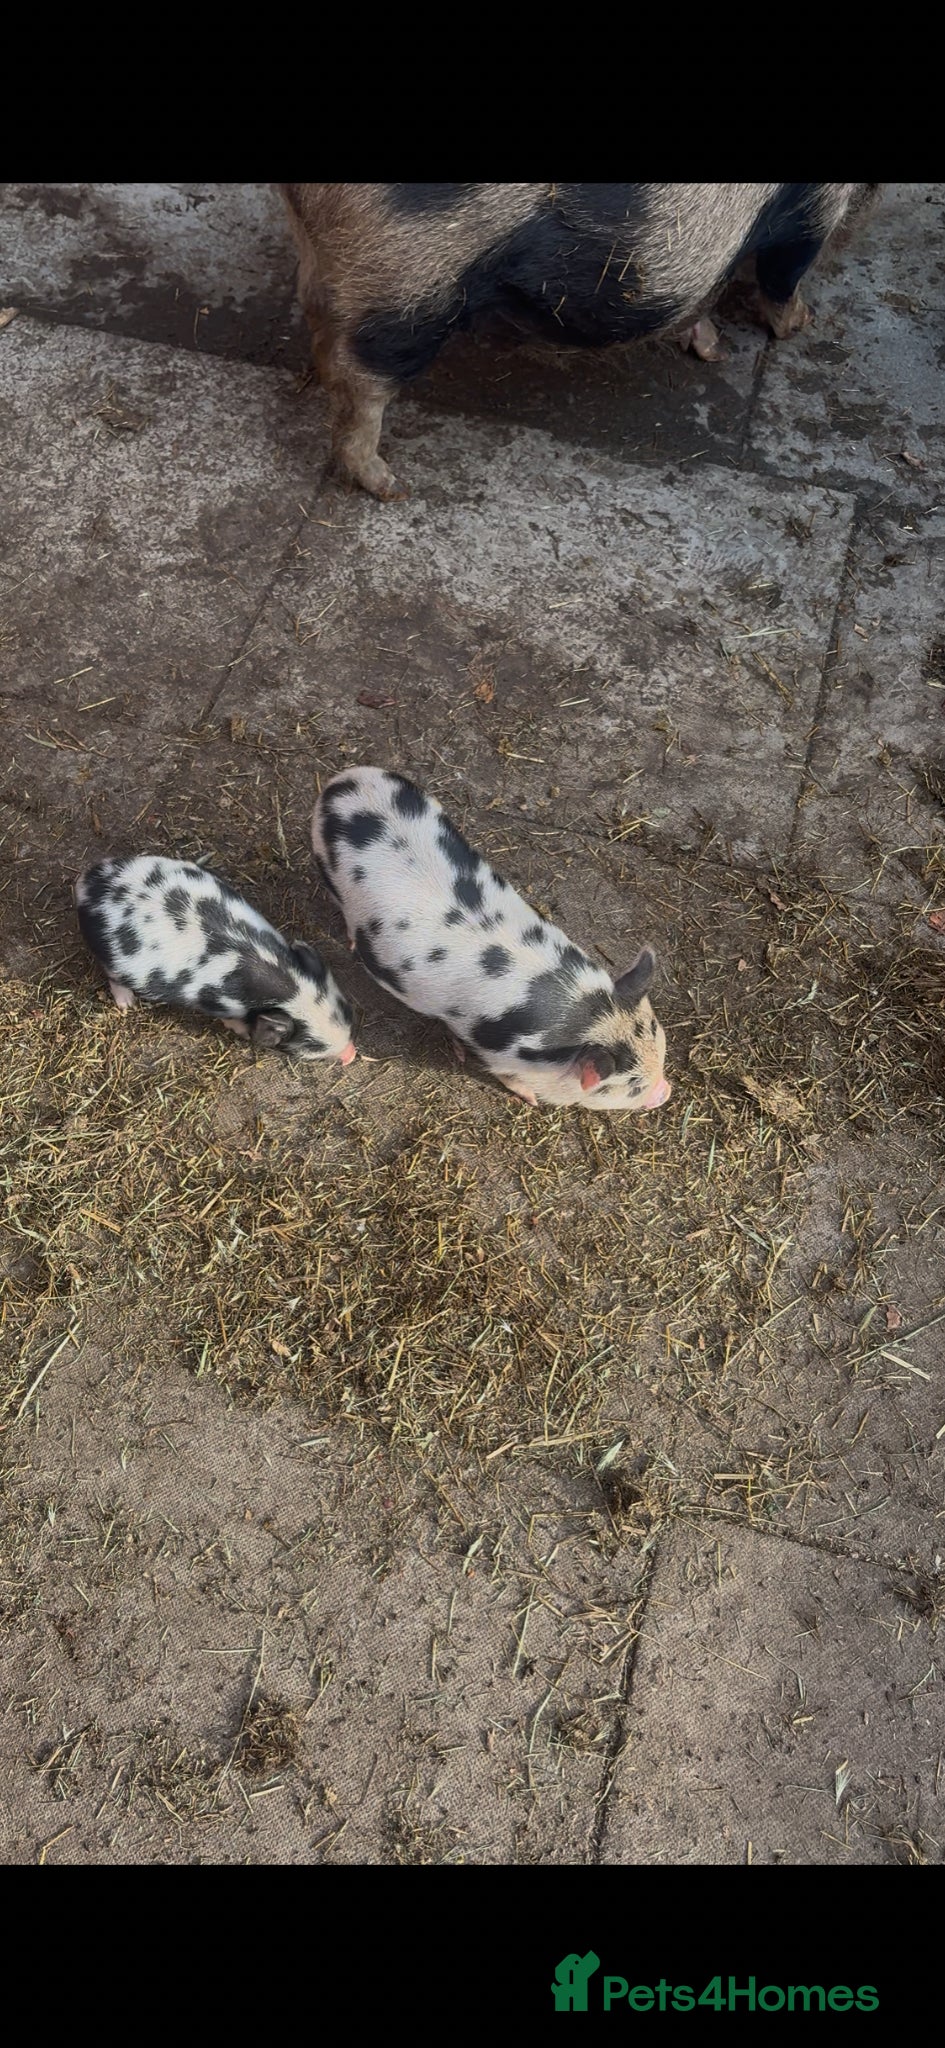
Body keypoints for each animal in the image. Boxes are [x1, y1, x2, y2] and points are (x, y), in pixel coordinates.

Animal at [75, 854, 356, 1063]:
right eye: (313, 1048)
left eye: (346, 1011)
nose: (351, 1055)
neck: (287, 988)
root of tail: (87, 884)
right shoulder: (221, 1006)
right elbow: (233, 1021)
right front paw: (243, 1033)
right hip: (112, 958)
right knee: (112, 976)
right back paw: (127, 1004)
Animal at [277, 182, 880, 497]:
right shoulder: (812, 206)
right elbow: (783, 274)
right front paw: (799, 324)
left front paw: (714, 351)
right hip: (408, 283)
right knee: (357, 375)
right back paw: (390, 484)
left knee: (315, 316)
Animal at [311, 767, 670, 1111]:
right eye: (633, 1086)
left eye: (661, 1041)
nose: (665, 1092)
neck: (588, 1017)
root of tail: (343, 783)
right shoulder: (496, 1054)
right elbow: (506, 1076)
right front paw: (531, 1099)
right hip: (325, 864)